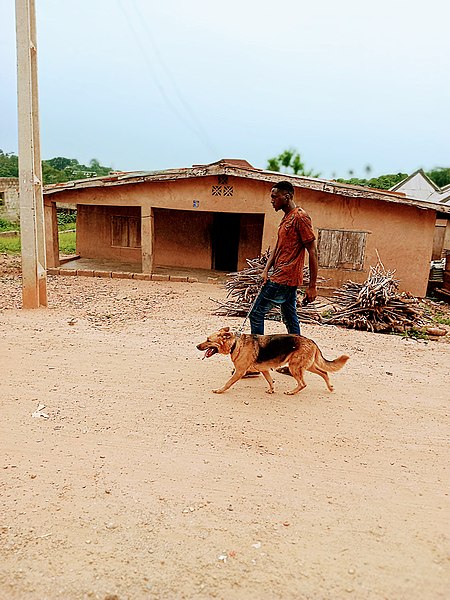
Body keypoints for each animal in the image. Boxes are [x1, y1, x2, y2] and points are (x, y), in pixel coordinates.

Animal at [196, 326, 348, 396]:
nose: (197, 346)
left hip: (295, 367)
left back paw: (292, 392)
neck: (235, 343)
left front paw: (219, 390)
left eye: (208, 340)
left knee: (303, 383)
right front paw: (271, 390)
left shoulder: (239, 372)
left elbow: (228, 383)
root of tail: (311, 341)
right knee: (324, 372)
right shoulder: (264, 370)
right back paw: (330, 387)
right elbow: (270, 380)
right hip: (306, 366)